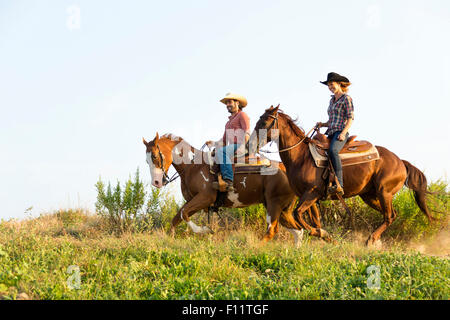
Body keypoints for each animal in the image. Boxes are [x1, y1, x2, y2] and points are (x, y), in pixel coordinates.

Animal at [142, 132, 322, 245]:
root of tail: (285, 168)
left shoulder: (204, 198)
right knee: (298, 231)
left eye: (155, 156)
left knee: (273, 230)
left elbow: (184, 214)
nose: (156, 182)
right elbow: (177, 218)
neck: (193, 166)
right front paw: (170, 238)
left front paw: (205, 230)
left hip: (274, 204)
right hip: (283, 209)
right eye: (146, 160)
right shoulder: (195, 201)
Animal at [251, 105, 434, 245]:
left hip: (385, 192)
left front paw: (322, 234)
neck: (301, 157)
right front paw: (327, 237)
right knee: (391, 214)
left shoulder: (311, 193)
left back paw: (370, 240)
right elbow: (314, 220)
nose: (252, 142)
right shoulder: (311, 197)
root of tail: (400, 162)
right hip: (370, 196)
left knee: (389, 216)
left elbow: (298, 214)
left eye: (265, 121)